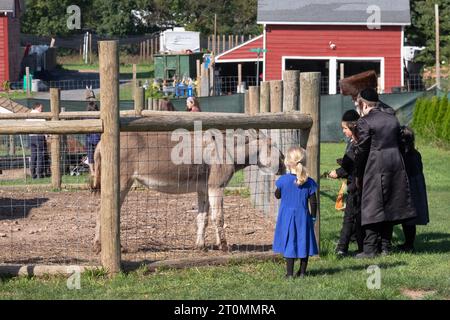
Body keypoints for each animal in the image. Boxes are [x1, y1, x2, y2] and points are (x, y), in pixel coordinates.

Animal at [91, 129, 284, 254]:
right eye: (274, 149)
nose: (284, 168)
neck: (227, 150)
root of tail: (100, 142)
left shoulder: (203, 190)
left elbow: (203, 218)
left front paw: (201, 246)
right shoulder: (216, 186)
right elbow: (218, 217)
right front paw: (224, 247)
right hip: (122, 182)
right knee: (103, 211)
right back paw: (101, 247)